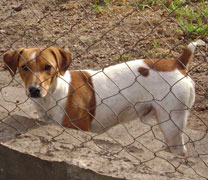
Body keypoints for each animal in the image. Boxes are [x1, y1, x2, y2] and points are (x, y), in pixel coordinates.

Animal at [2, 40, 205, 156]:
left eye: (48, 67)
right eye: (24, 67)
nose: (34, 90)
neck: (56, 92)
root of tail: (177, 63)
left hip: (172, 123)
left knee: (180, 150)